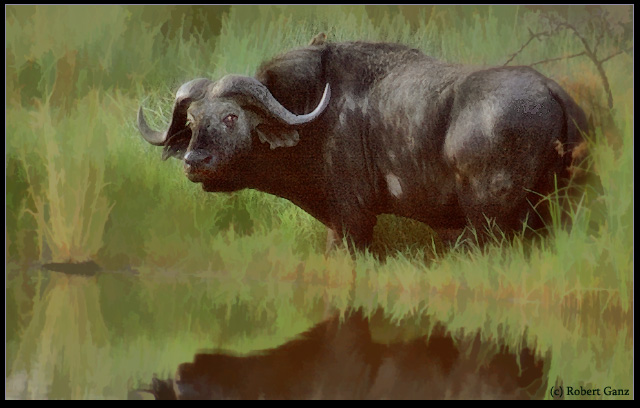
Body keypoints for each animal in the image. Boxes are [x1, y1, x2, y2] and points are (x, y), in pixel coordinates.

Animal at [138, 39, 588, 250]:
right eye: (192, 121)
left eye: (231, 117)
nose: (194, 160)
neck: (314, 116)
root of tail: (552, 91)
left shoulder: (353, 220)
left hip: (492, 220)